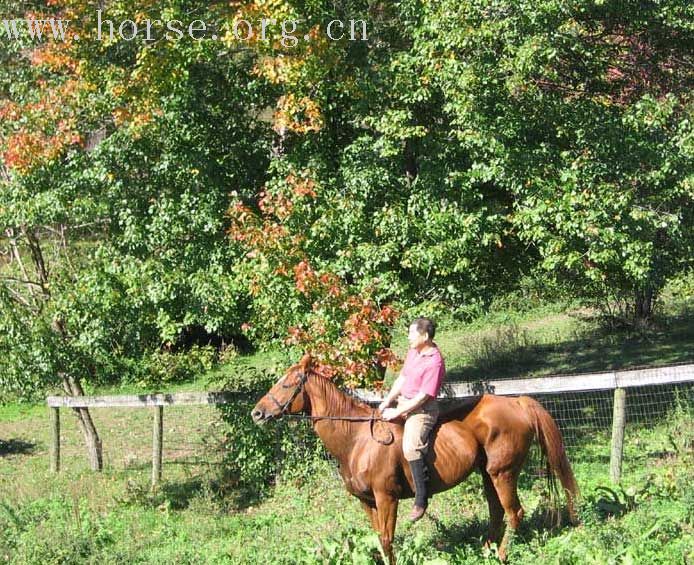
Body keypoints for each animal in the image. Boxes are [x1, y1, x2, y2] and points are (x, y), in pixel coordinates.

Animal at [253, 354, 580, 560]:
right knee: (497, 512)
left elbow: (387, 539)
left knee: (514, 513)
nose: (257, 413)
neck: (357, 440)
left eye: (287, 383)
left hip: (504, 473)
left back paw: (500, 554)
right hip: (488, 474)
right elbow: (379, 539)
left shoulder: (386, 498)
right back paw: (486, 550)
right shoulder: (367, 502)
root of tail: (518, 403)